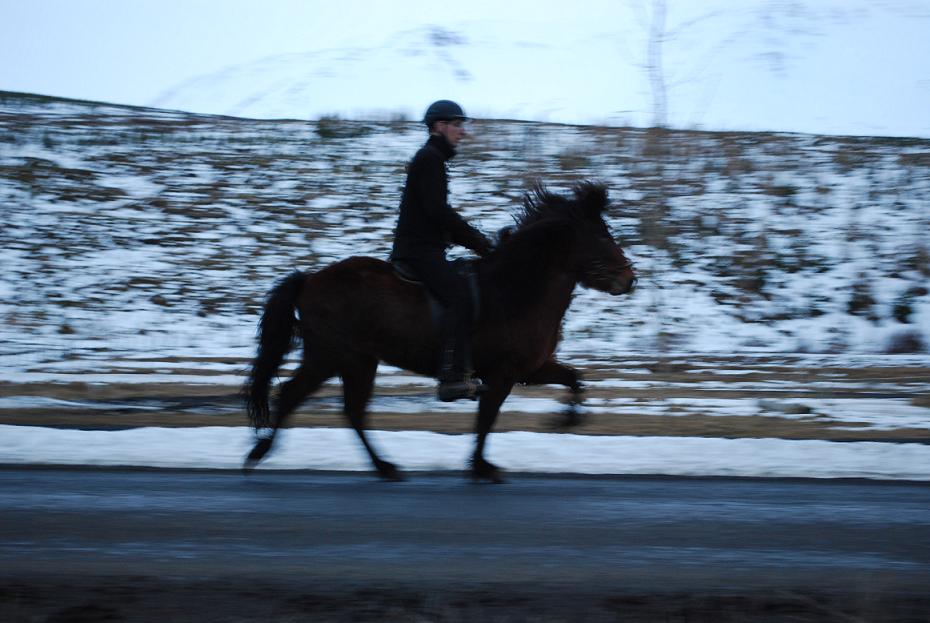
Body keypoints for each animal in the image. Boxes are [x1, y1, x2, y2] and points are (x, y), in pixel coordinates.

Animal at [245, 180, 640, 482]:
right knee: (298, 397)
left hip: (355, 361)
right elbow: (487, 418)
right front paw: (482, 467)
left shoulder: (532, 368)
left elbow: (575, 380)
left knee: (348, 410)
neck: (515, 289)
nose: (630, 279)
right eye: (600, 237)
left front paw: (564, 421)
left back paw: (382, 466)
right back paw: (262, 452)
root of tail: (309, 279)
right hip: (333, 357)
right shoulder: (503, 373)